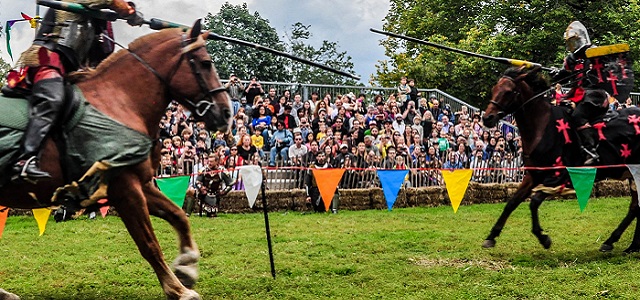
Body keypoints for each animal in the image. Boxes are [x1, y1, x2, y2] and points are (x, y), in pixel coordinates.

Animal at [0, 19, 230, 298]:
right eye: (206, 63)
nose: (226, 113)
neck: (119, 102)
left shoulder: (140, 184)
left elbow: (179, 216)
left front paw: (187, 267)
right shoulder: (125, 190)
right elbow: (149, 244)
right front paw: (177, 289)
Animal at [480, 66, 640, 253]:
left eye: (509, 91)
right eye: (494, 89)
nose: (487, 118)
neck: (542, 126)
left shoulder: (559, 177)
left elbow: (534, 202)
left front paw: (543, 238)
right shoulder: (533, 176)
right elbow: (512, 202)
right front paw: (491, 236)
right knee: (636, 207)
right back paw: (625, 244)